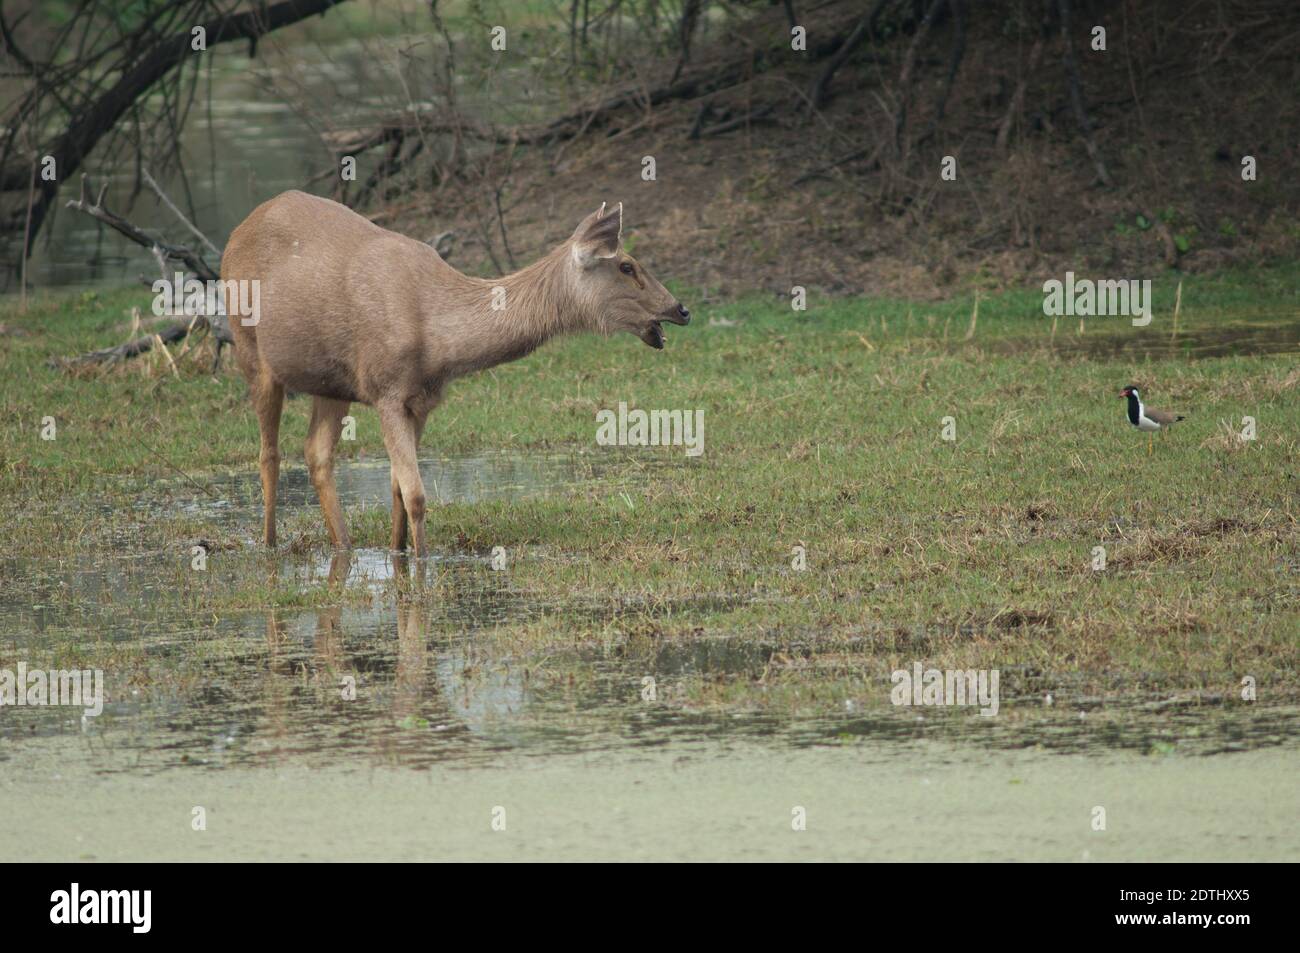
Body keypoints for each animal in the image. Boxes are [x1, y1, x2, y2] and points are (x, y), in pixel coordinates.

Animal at [223, 189, 691, 553]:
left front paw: (397, 553)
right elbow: (416, 495)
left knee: (317, 454)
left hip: (331, 384)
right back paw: (270, 543)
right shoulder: (386, 390)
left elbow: (397, 490)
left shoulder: (423, 400)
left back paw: (344, 545)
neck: (438, 341)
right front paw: (421, 566)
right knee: (269, 454)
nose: (680, 309)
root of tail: (235, 232)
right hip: (250, 350)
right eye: (627, 266)